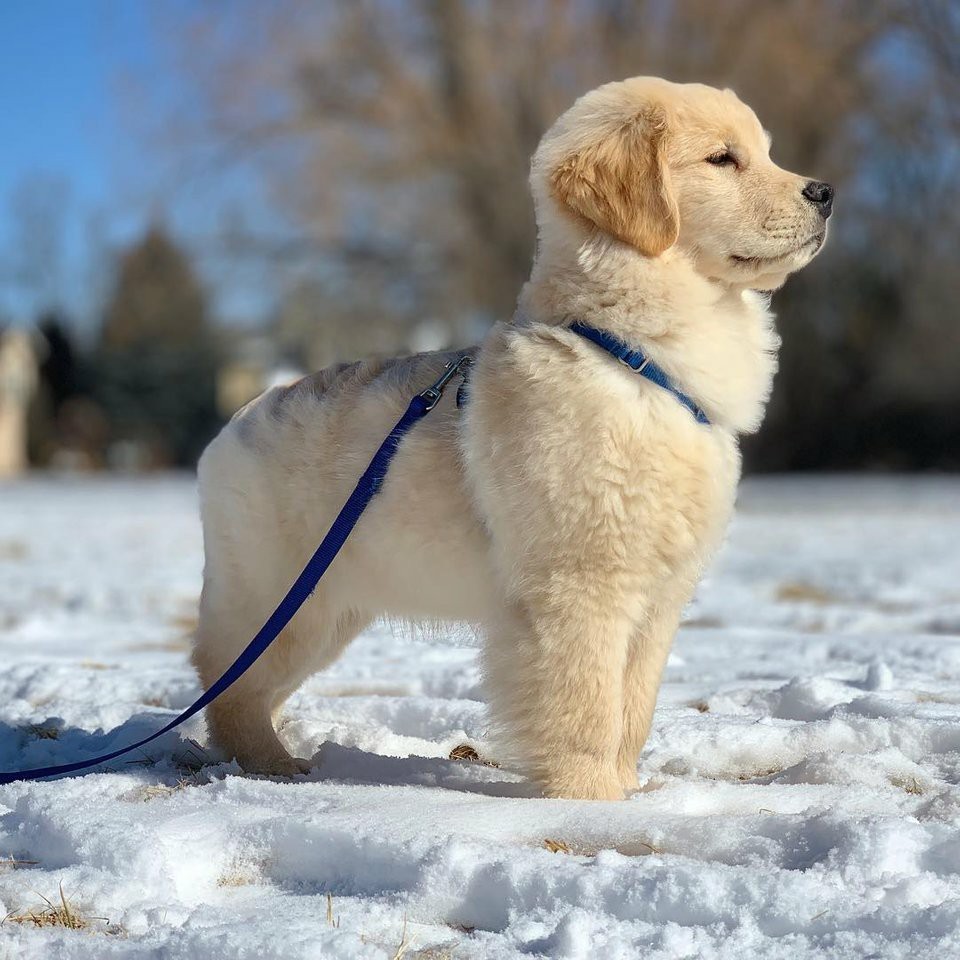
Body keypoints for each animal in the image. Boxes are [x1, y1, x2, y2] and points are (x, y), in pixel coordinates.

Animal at [193, 75, 832, 800]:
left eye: (766, 152)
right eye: (723, 159)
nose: (824, 192)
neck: (636, 359)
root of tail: (238, 420)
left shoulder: (660, 597)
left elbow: (634, 709)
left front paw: (628, 791)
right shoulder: (580, 588)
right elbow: (588, 708)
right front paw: (591, 800)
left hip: (327, 609)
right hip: (281, 599)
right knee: (229, 686)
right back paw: (271, 765)